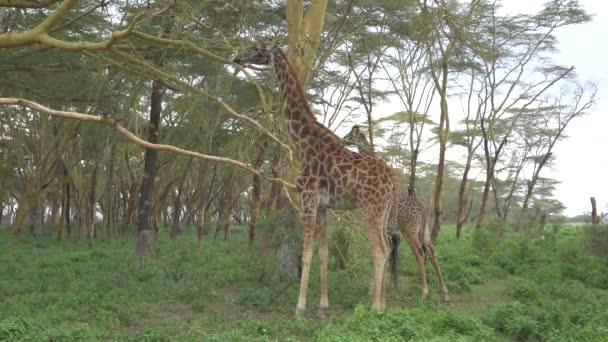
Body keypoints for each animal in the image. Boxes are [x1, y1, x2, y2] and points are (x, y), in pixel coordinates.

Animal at [233, 45, 394, 318]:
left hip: (368, 209)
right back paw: (381, 303)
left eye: (256, 49)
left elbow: (306, 253)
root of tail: (394, 182)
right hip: (382, 213)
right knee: (387, 247)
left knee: (380, 251)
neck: (304, 143)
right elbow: (323, 253)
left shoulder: (306, 198)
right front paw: (322, 307)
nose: (237, 58)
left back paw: (376, 307)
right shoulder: (322, 206)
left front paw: (299, 308)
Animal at [342, 125, 452, 302]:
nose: (343, 140)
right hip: (424, 231)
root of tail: (423, 210)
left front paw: (374, 291)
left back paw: (424, 292)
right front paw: (385, 288)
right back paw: (445, 293)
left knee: (420, 254)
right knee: (433, 253)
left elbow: (380, 253)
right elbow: (388, 254)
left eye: (351, 134)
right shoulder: (388, 228)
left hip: (410, 230)